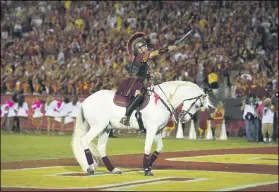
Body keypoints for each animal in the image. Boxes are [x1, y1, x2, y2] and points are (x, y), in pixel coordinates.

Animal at [71, 80, 214, 176]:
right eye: (198, 105)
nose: (183, 118)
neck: (162, 101)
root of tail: (85, 101)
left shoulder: (158, 131)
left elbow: (159, 148)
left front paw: (148, 165)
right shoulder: (151, 129)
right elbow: (147, 147)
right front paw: (146, 169)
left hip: (106, 128)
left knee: (101, 147)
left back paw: (113, 169)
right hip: (98, 126)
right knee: (84, 141)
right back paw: (90, 168)